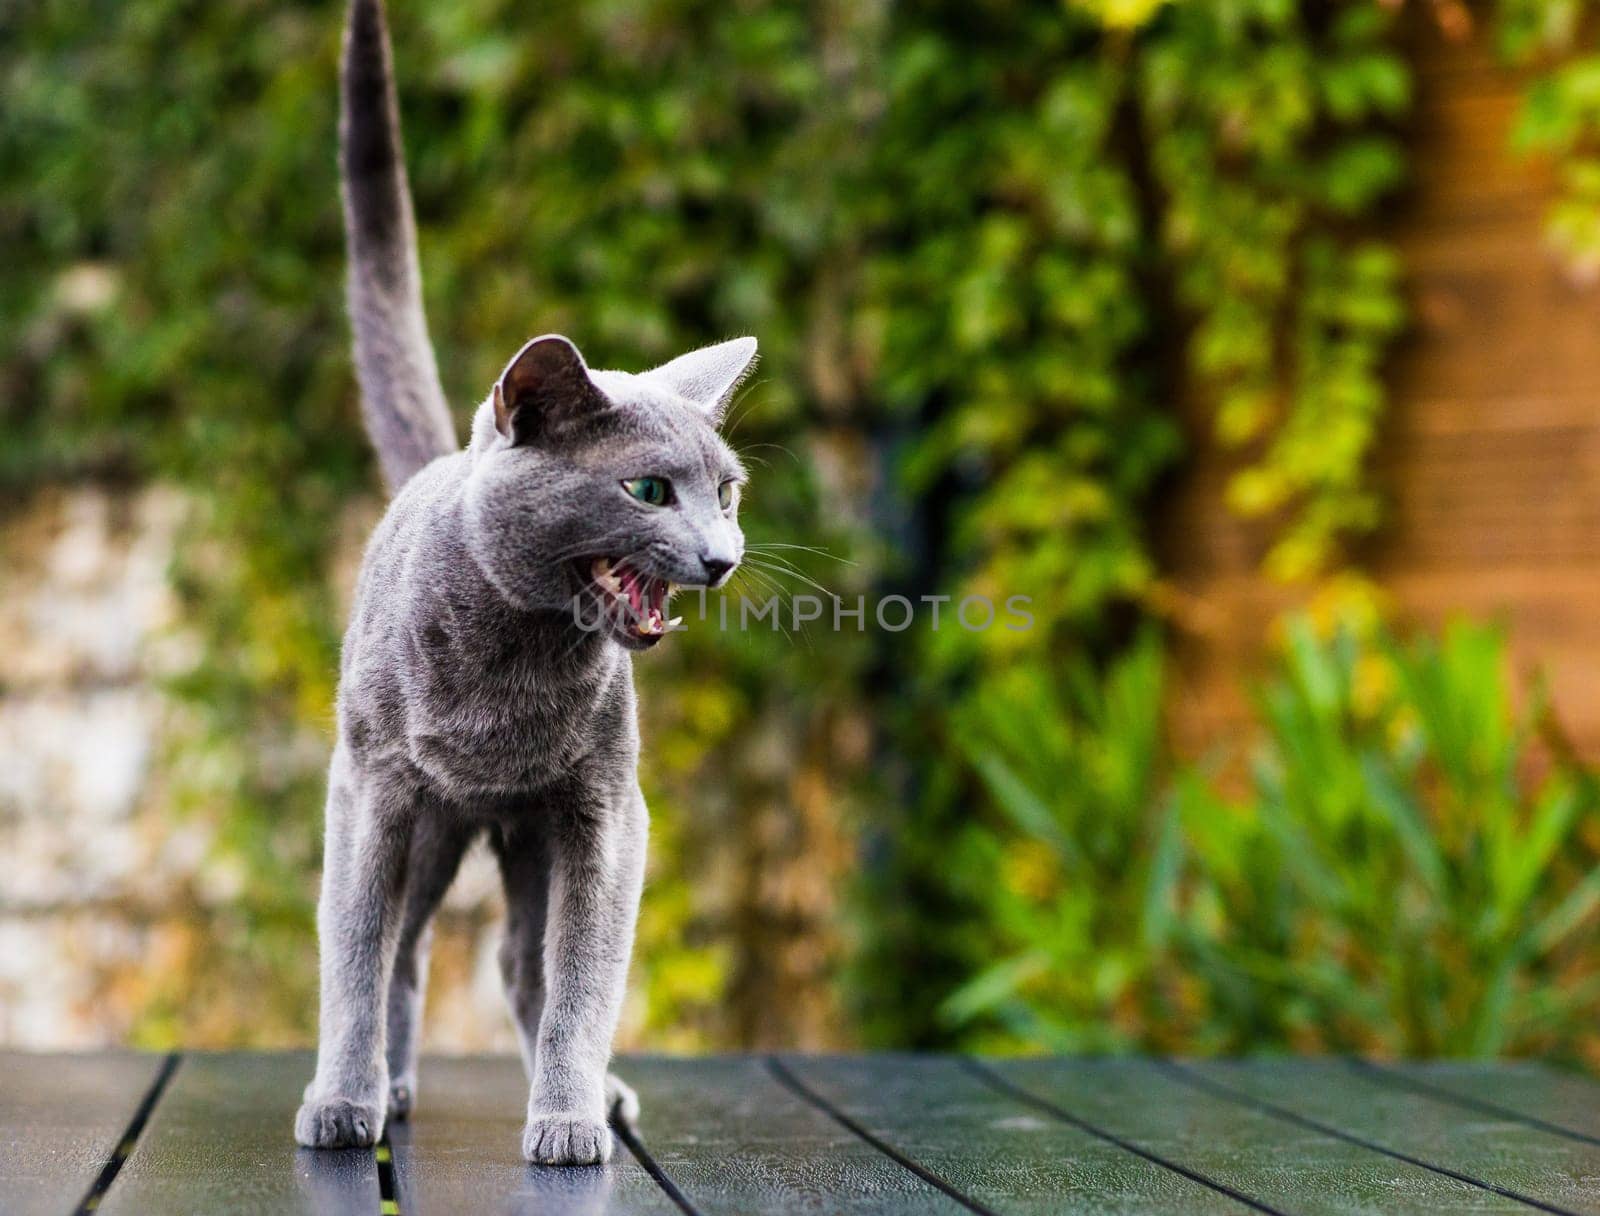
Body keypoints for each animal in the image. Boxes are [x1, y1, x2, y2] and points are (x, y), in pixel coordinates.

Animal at [292, 0, 748, 1171]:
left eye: (728, 493)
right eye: (648, 489)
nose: (722, 556)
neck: (516, 658)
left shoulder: (604, 809)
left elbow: (583, 973)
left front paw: (569, 1117)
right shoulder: (369, 788)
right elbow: (352, 954)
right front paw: (341, 1101)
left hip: (529, 834)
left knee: (517, 962)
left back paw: (595, 1096)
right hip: (429, 824)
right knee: (407, 950)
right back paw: (390, 1088)